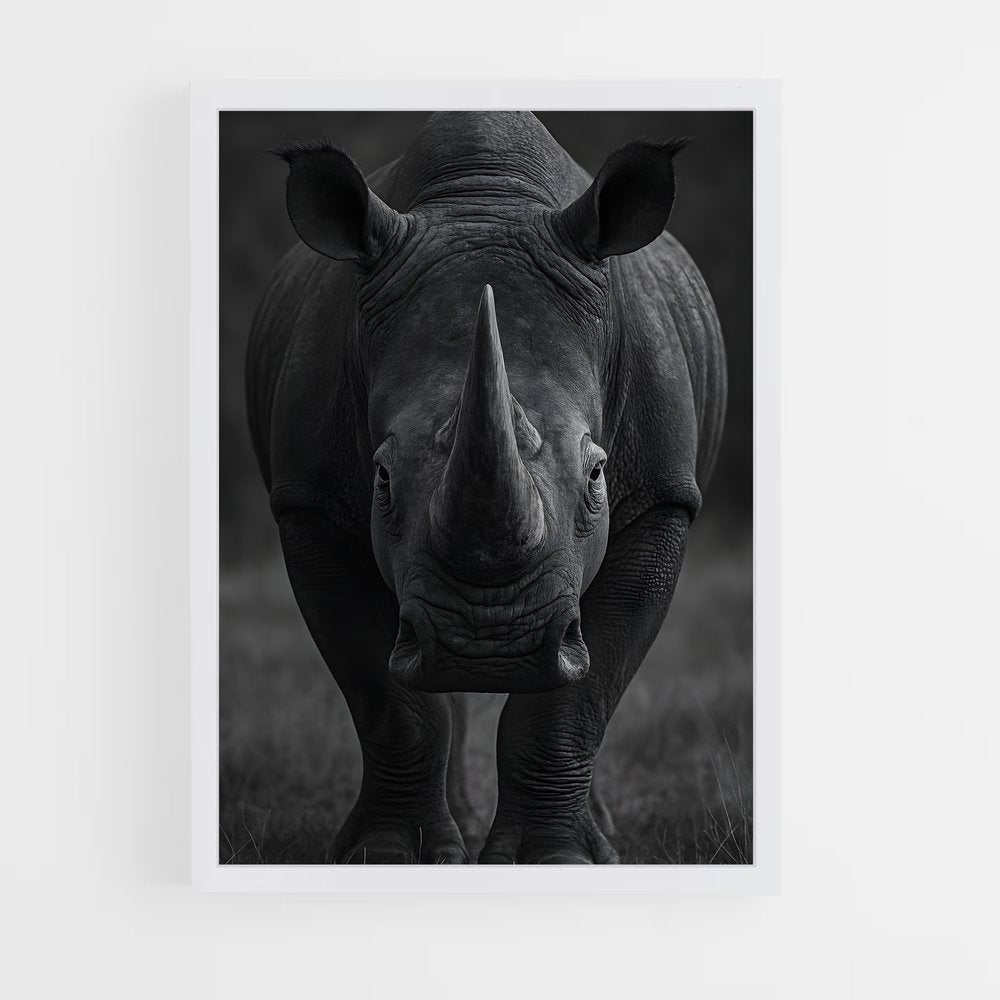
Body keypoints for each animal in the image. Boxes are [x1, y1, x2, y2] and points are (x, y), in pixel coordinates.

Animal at [246, 111, 727, 864]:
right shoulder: (309, 504)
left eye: (598, 473)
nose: (491, 648)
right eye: (381, 478)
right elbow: (388, 698)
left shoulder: (661, 499)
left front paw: (557, 860)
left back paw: (601, 838)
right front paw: (390, 855)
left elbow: (578, 695)